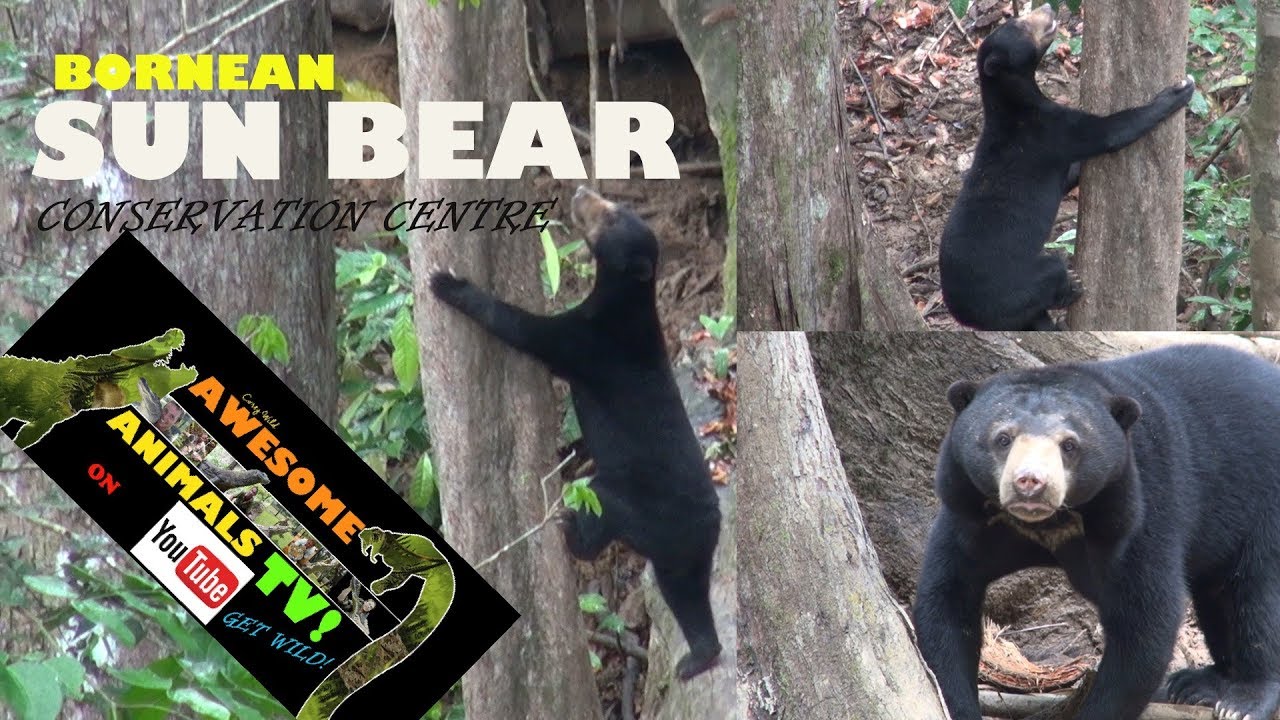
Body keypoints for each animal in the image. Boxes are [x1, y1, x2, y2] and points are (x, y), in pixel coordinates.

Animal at [428, 186, 723, 680]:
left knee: (605, 514)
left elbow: (526, 330)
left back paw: (569, 529)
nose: (583, 191)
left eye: (611, 218)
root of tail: (712, 524)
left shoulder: (589, 343)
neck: (624, 298)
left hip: (640, 507)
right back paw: (699, 658)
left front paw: (446, 282)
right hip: (684, 554)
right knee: (689, 597)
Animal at [913, 344, 1280, 720]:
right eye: (1003, 438)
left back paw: (1241, 700)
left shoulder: (1141, 506)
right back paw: (1196, 683)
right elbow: (947, 599)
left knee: (1258, 598)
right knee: (1217, 597)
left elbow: (1144, 620)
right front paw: (956, 705)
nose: (1030, 482)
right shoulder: (967, 511)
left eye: (1069, 445)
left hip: (1266, 501)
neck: (1048, 523)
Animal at [938, 4, 1195, 331]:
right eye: (1021, 25)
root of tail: (961, 312)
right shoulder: (1051, 132)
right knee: (1051, 274)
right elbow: (1110, 132)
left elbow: (1068, 176)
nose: (1048, 7)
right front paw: (1179, 91)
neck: (1015, 105)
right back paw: (1071, 286)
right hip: (1013, 285)